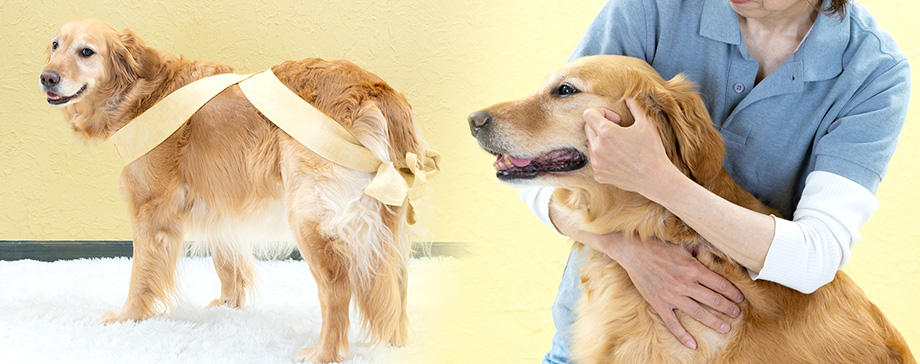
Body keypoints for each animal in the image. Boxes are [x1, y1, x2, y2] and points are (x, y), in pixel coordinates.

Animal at [39, 18, 428, 362]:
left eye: (86, 51)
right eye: (55, 45)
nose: (46, 77)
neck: (141, 90)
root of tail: (376, 91)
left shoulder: (151, 210)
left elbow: (141, 274)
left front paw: (127, 317)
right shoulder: (220, 204)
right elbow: (226, 262)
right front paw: (229, 306)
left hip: (310, 217)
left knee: (337, 288)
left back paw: (324, 353)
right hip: (388, 223)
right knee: (398, 283)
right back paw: (397, 344)